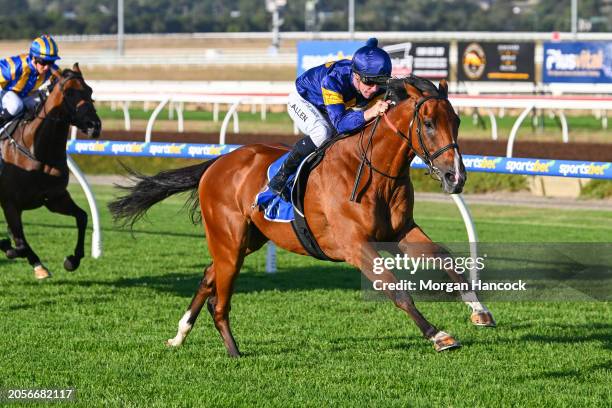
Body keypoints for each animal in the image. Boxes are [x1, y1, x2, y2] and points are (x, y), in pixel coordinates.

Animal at [0, 63, 101, 278]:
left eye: (89, 90)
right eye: (69, 92)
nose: (94, 125)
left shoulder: (54, 198)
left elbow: (82, 217)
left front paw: (72, 260)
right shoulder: (10, 203)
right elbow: (20, 243)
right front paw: (10, 248)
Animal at [109, 77, 492, 356]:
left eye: (456, 121)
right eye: (427, 123)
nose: (456, 177)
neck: (374, 170)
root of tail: (217, 163)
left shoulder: (401, 232)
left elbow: (447, 260)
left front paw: (479, 311)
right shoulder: (354, 245)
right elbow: (396, 290)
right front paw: (437, 334)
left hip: (247, 239)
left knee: (208, 276)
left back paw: (179, 335)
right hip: (229, 239)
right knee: (220, 295)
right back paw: (232, 350)